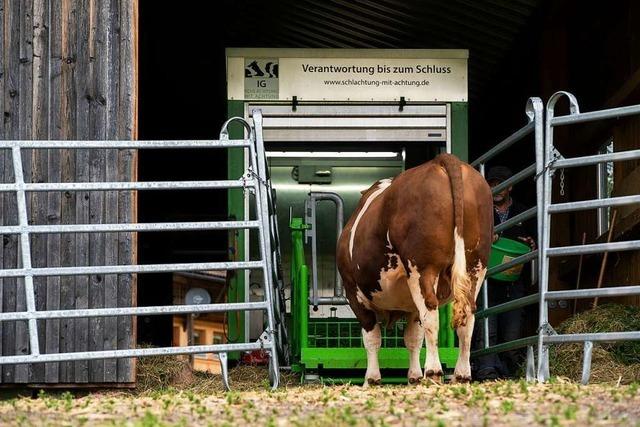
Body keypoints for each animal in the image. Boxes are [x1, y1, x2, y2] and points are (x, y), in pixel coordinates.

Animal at [338, 153, 492, 384]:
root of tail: (441, 160)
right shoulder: (410, 308)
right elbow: (413, 338)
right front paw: (414, 376)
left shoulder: (354, 294)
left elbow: (372, 338)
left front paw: (371, 379)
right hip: (476, 266)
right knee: (468, 317)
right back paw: (461, 375)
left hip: (423, 267)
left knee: (431, 314)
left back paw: (434, 371)